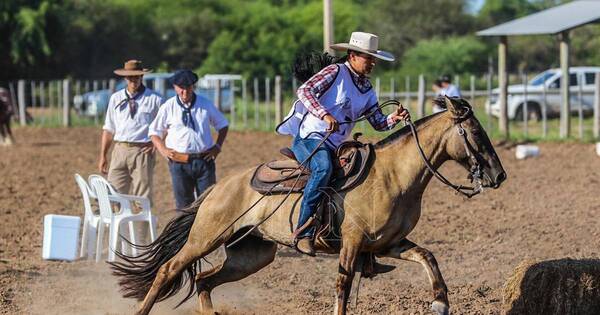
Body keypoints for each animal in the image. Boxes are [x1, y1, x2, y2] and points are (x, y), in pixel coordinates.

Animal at [111, 97, 506, 314]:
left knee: (205, 281)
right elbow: (343, 285)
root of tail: (218, 188)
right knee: (168, 270)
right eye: (475, 133)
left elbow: (429, 257)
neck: (394, 175)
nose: (499, 175)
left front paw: (441, 302)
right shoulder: (352, 243)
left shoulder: (389, 244)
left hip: (252, 254)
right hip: (205, 238)